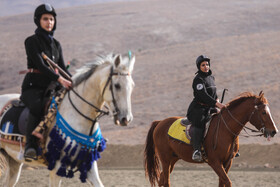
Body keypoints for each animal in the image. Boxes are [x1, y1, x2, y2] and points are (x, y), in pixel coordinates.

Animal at [0, 53, 136, 186]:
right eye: (117, 86)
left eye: (132, 85)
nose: (126, 119)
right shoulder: (56, 167)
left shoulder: (89, 165)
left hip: (14, 162)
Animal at [144, 91, 278, 186]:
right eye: (263, 112)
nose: (274, 131)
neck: (225, 129)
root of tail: (160, 123)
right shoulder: (215, 162)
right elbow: (227, 182)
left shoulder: (227, 163)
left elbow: (222, 183)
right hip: (165, 159)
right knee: (166, 181)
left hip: (173, 159)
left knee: (161, 179)